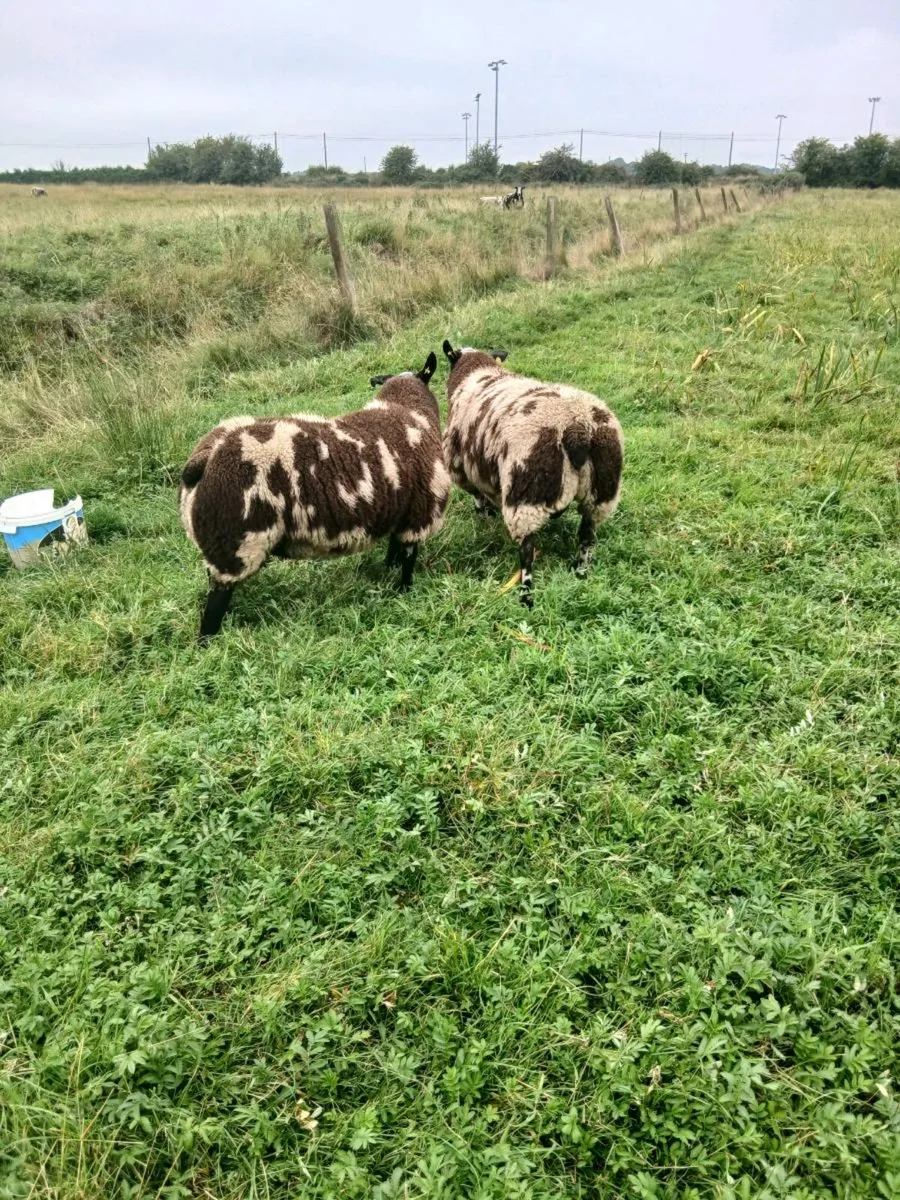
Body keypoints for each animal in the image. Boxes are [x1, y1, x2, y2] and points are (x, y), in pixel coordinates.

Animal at [179, 351, 450, 639]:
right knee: (212, 612)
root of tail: (203, 458)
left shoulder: (402, 511)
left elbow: (395, 549)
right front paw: (404, 592)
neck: (408, 411)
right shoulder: (421, 511)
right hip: (235, 544)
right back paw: (209, 642)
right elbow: (409, 559)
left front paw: (389, 569)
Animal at [442, 341, 623, 608]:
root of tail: (578, 427)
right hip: (601, 493)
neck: (476, 375)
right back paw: (581, 573)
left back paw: (526, 596)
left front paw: (484, 518)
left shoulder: (464, 469)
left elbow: (479, 499)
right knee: (587, 537)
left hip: (525, 496)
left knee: (527, 553)